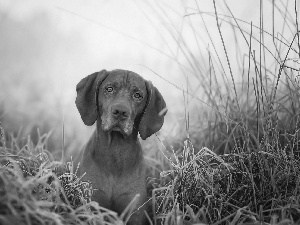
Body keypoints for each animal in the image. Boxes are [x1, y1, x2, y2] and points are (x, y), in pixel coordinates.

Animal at [74, 69, 168, 224]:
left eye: (137, 95)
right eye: (109, 89)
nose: (120, 111)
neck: (115, 152)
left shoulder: (134, 212)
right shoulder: (92, 207)